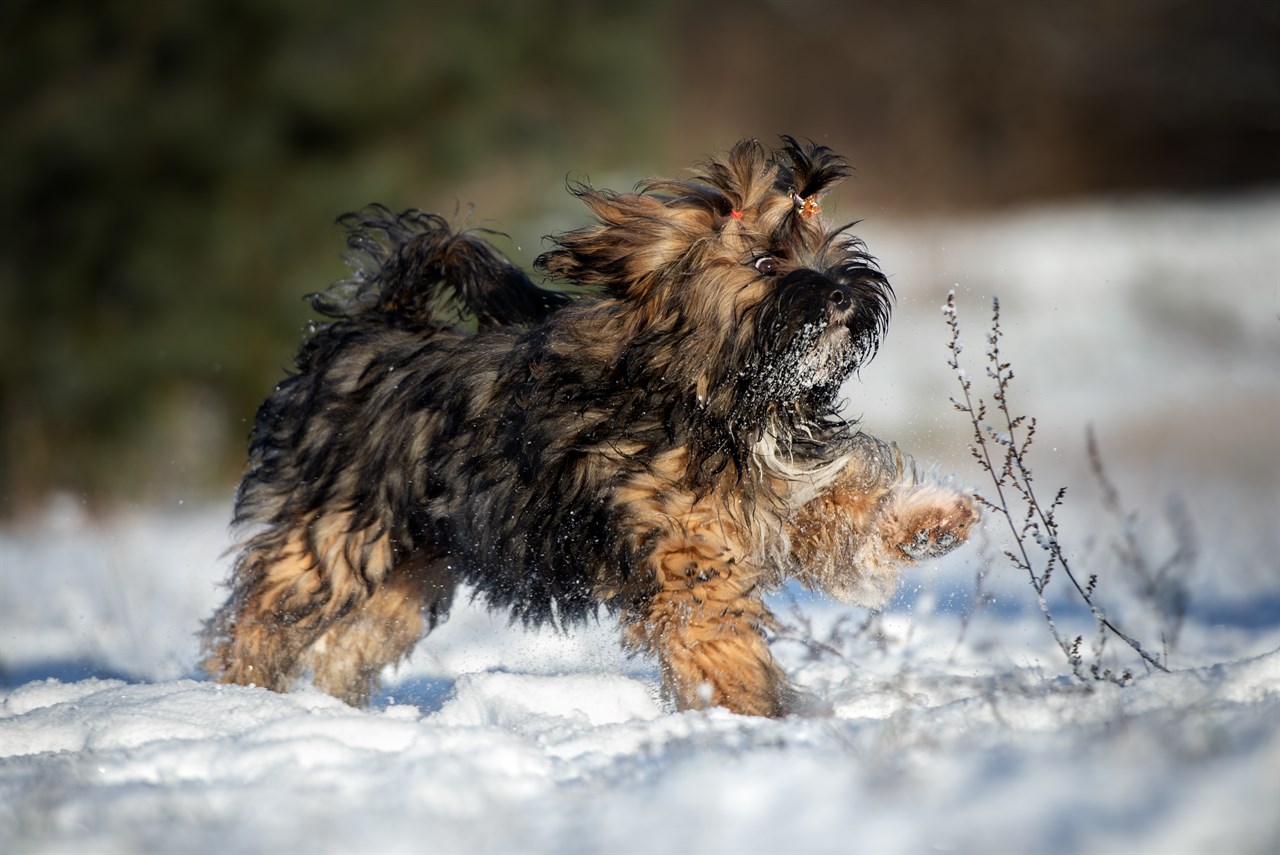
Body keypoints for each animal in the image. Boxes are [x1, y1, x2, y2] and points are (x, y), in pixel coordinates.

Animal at [202, 138, 977, 716]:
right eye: (765, 260)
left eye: (826, 245)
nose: (846, 291)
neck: (722, 397)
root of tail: (373, 326)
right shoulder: (687, 554)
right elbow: (717, 637)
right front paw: (752, 712)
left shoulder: (783, 491)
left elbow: (848, 510)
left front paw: (931, 520)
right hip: (335, 532)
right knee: (263, 618)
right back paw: (239, 700)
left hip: (414, 561)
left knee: (353, 639)